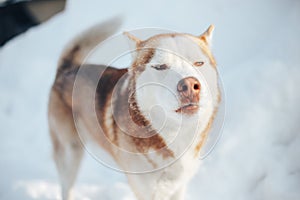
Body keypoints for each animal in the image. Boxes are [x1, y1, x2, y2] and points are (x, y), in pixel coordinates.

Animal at [48, 17, 220, 200]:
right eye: (160, 67)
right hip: (70, 153)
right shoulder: (146, 191)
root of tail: (67, 69)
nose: (189, 86)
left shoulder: (177, 187)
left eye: (199, 63)